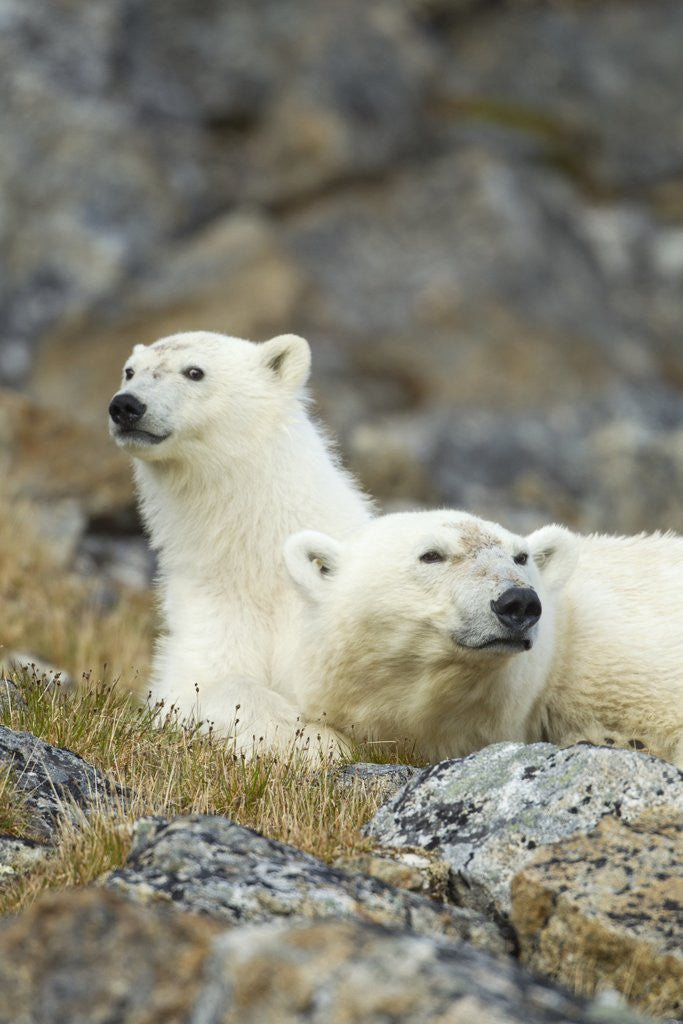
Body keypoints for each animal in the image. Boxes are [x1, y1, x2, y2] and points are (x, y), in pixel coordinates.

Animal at [109, 330, 372, 751]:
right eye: (130, 371)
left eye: (194, 371)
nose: (126, 405)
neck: (261, 555)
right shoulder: (212, 603)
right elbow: (205, 681)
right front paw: (310, 741)